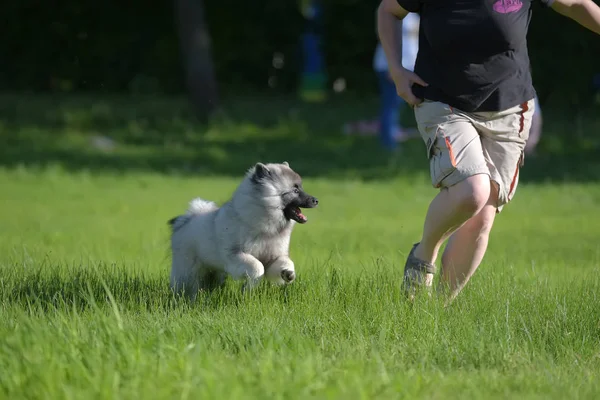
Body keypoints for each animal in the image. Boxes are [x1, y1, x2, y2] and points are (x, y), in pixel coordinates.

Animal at [168, 162, 318, 296]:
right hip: (189, 270)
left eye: (300, 188)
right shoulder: (236, 255)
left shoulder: (274, 257)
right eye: (295, 190)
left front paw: (288, 273)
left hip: (214, 272)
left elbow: (286, 262)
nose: (316, 200)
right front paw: (247, 289)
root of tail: (186, 221)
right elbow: (258, 267)